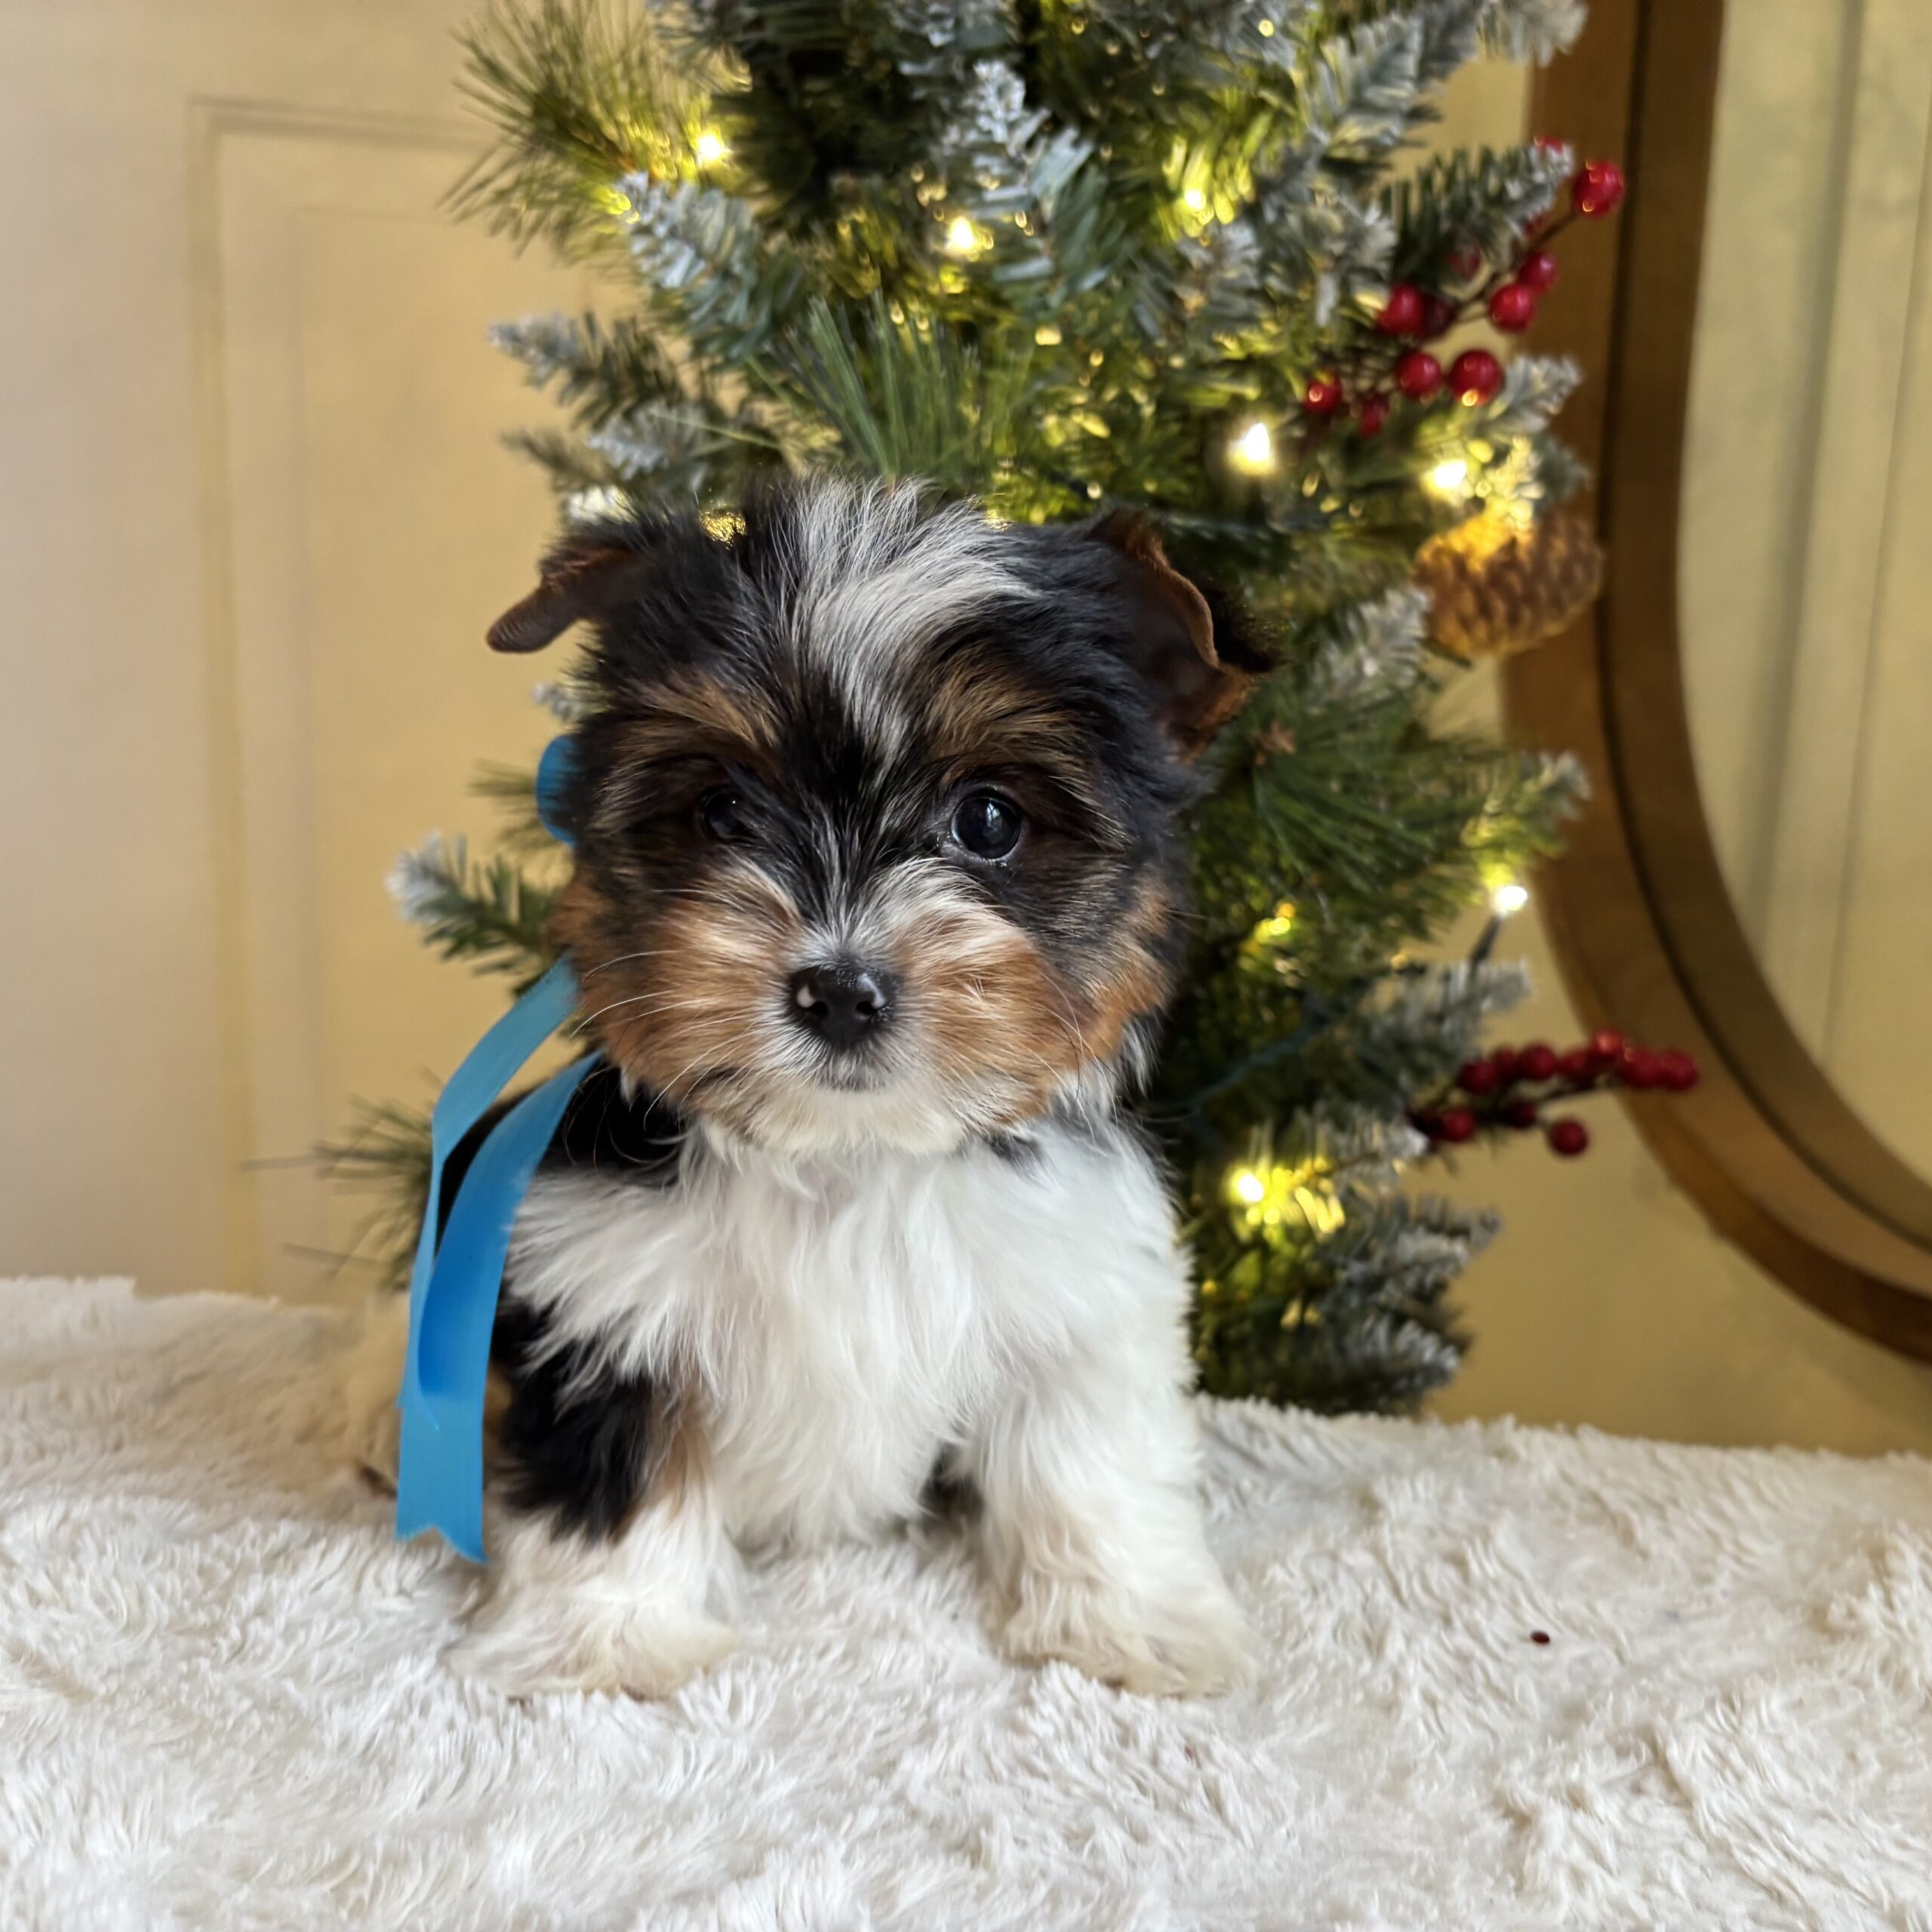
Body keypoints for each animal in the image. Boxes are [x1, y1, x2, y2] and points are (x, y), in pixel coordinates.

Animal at [346, 480, 1258, 1699]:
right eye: (725, 813)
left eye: (990, 819)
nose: (839, 990)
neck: (845, 1151)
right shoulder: (602, 1298)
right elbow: (616, 1476)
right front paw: (601, 1637)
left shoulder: (1075, 1295)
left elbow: (1087, 1457)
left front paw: (1129, 1621)